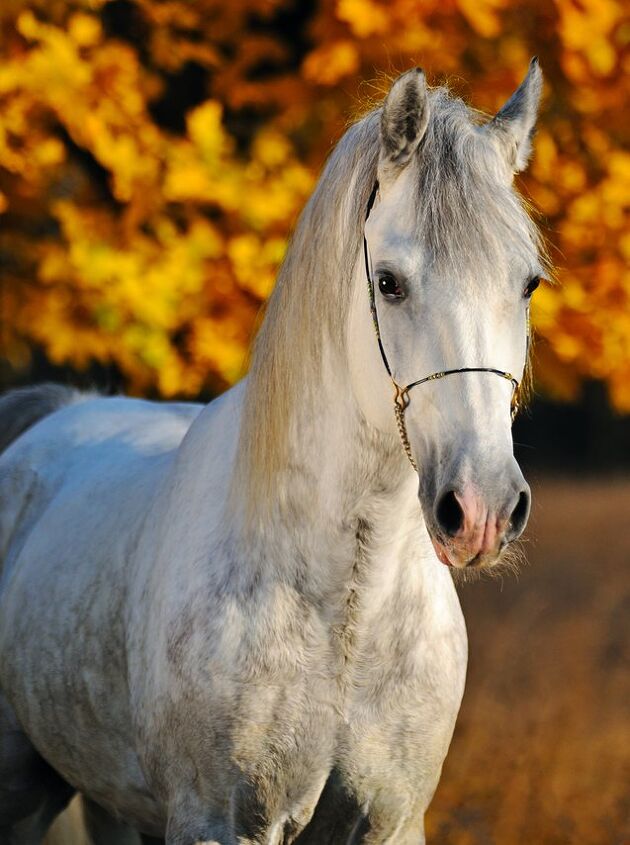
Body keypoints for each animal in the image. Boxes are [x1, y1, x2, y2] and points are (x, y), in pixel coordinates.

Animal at [0, 60, 545, 844]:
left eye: (527, 283)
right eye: (389, 282)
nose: (482, 510)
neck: (347, 609)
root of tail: (56, 414)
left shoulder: (392, 822)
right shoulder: (214, 821)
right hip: (23, 790)